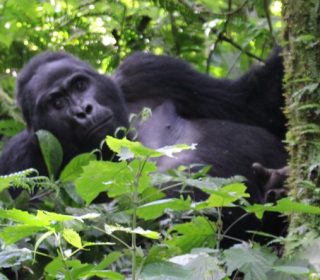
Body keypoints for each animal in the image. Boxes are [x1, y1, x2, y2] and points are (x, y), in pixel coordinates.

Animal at [0, 49, 286, 245]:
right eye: (57, 103)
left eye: (80, 84)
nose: (83, 110)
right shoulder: (19, 161)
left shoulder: (149, 72)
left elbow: (251, 104)